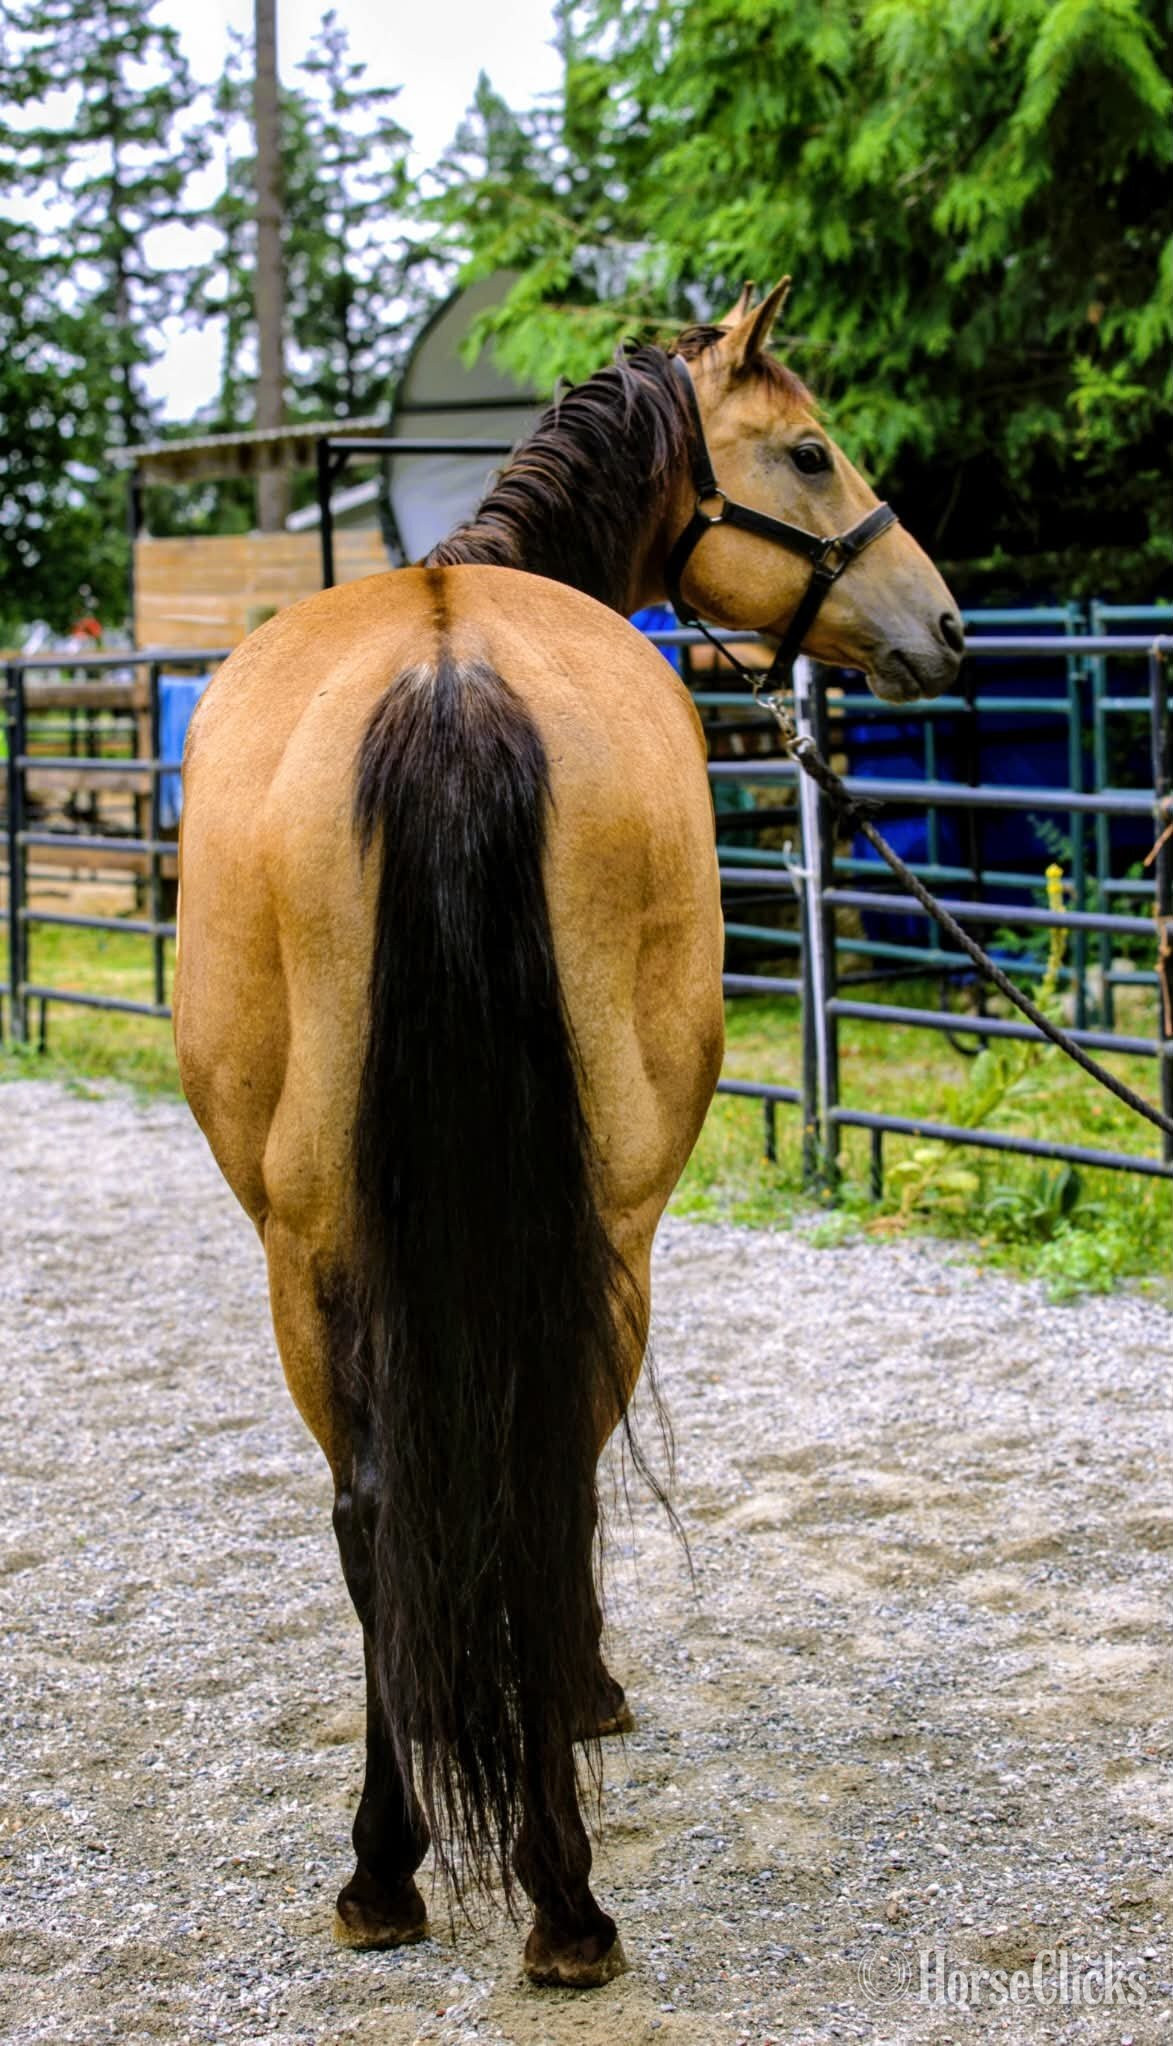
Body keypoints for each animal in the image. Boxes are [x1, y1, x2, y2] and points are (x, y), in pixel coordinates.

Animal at [173, 280, 962, 1989]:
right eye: (810, 448)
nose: (941, 625)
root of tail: (447, 684)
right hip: (604, 1228)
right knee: (545, 1487)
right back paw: (562, 1897)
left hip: (305, 1239)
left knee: (373, 1505)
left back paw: (385, 1869)